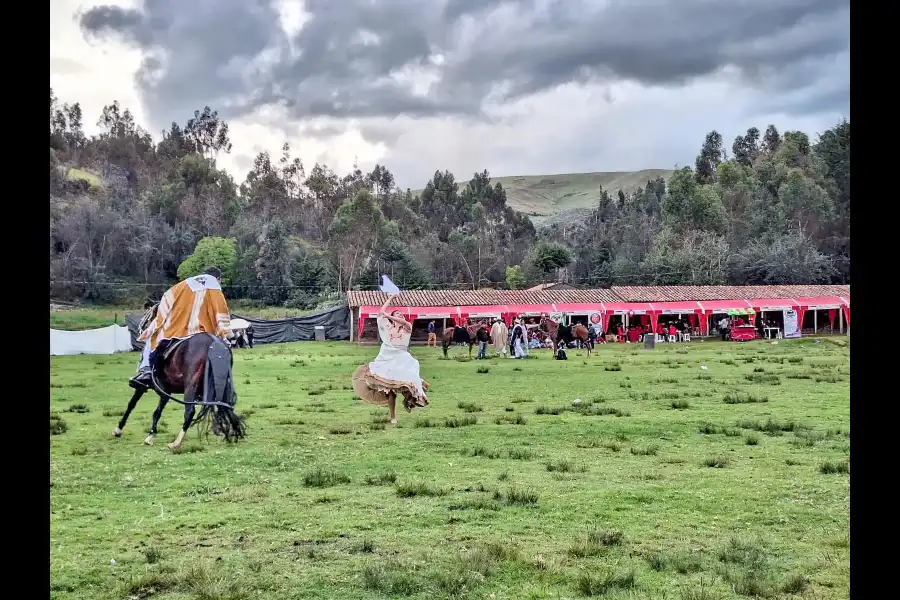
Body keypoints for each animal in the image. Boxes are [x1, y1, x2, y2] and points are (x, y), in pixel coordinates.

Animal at [112, 332, 246, 450]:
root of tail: (215, 343)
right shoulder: (166, 393)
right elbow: (157, 412)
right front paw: (151, 435)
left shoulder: (142, 388)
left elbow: (131, 405)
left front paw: (118, 430)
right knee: (224, 408)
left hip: (191, 385)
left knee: (190, 412)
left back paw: (176, 443)